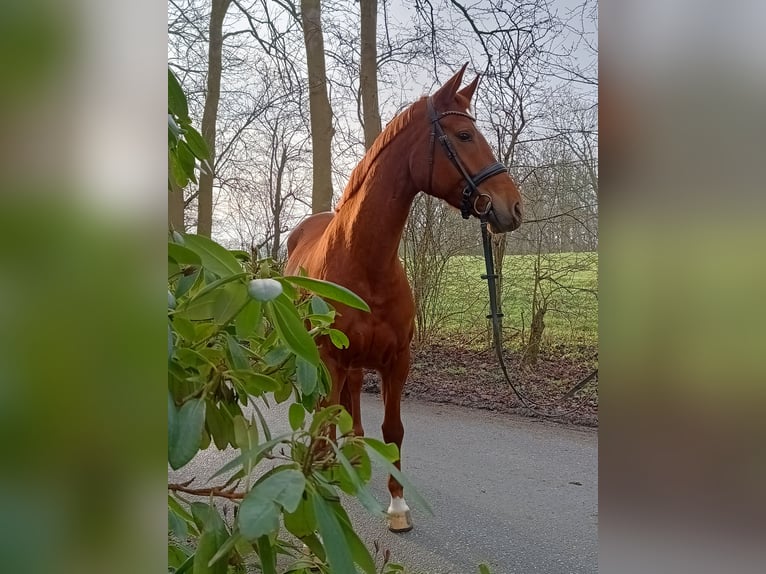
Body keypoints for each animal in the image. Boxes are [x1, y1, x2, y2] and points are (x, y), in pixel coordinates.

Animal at [284, 65, 524, 532]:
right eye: (464, 135)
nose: (514, 207)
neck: (365, 262)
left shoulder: (397, 360)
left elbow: (392, 430)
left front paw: (398, 507)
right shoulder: (330, 357)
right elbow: (325, 422)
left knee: (352, 400)